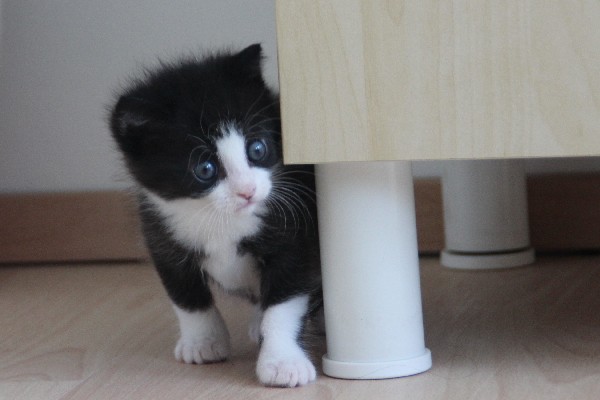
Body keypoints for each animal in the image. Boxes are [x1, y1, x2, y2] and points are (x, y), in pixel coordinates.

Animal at [109, 43, 322, 388]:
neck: (219, 218)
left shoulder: (298, 236)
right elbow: (185, 296)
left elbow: (283, 303)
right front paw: (203, 342)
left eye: (257, 149)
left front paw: (282, 362)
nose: (248, 191)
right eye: (205, 169)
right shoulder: (160, 234)